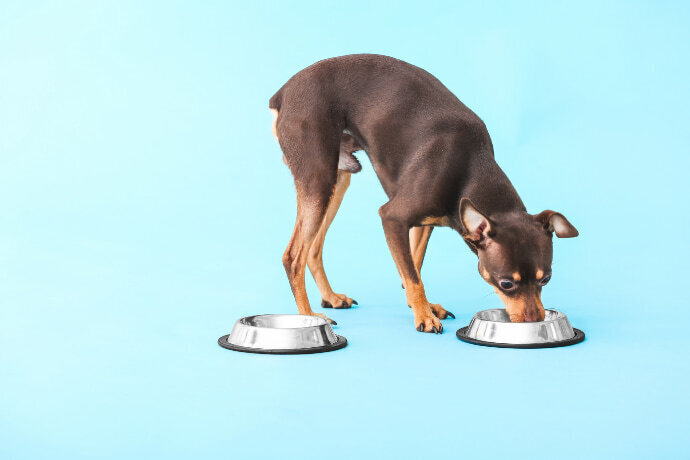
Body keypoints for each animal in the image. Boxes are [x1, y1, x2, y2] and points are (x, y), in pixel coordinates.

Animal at [268, 54, 576, 334]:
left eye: (546, 279)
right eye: (507, 284)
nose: (535, 322)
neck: (470, 165)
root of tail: (281, 94)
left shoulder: (421, 224)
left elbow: (412, 268)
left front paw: (422, 307)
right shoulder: (392, 217)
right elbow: (413, 276)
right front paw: (424, 316)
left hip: (337, 181)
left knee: (313, 248)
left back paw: (330, 297)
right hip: (318, 180)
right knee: (293, 256)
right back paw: (309, 317)